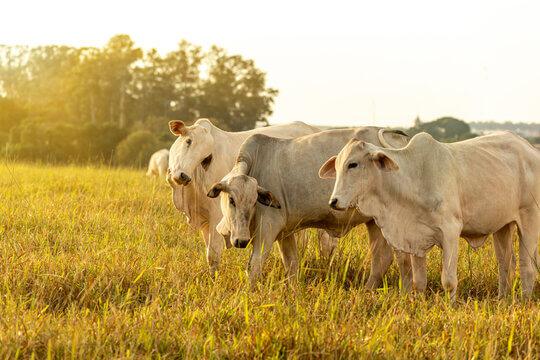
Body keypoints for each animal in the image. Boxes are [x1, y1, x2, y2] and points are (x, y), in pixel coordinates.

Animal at [167, 119, 336, 276]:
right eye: (188, 141)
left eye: (207, 157)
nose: (183, 176)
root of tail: (314, 128)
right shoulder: (204, 221)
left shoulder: (217, 216)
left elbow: (213, 254)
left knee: (327, 242)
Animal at [207, 127, 410, 286]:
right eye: (231, 200)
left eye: (253, 200)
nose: (241, 241)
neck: (257, 163)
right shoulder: (285, 233)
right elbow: (292, 265)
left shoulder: (268, 227)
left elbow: (254, 264)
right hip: (375, 222)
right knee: (381, 259)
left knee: (404, 259)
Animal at [320, 131, 540, 300]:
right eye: (337, 166)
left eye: (353, 164)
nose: (333, 201)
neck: (413, 178)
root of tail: (530, 148)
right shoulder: (415, 239)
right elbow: (419, 282)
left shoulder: (451, 231)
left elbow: (449, 280)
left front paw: (451, 307)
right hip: (502, 226)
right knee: (506, 265)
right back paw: (503, 299)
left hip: (529, 219)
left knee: (526, 266)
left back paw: (524, 301)